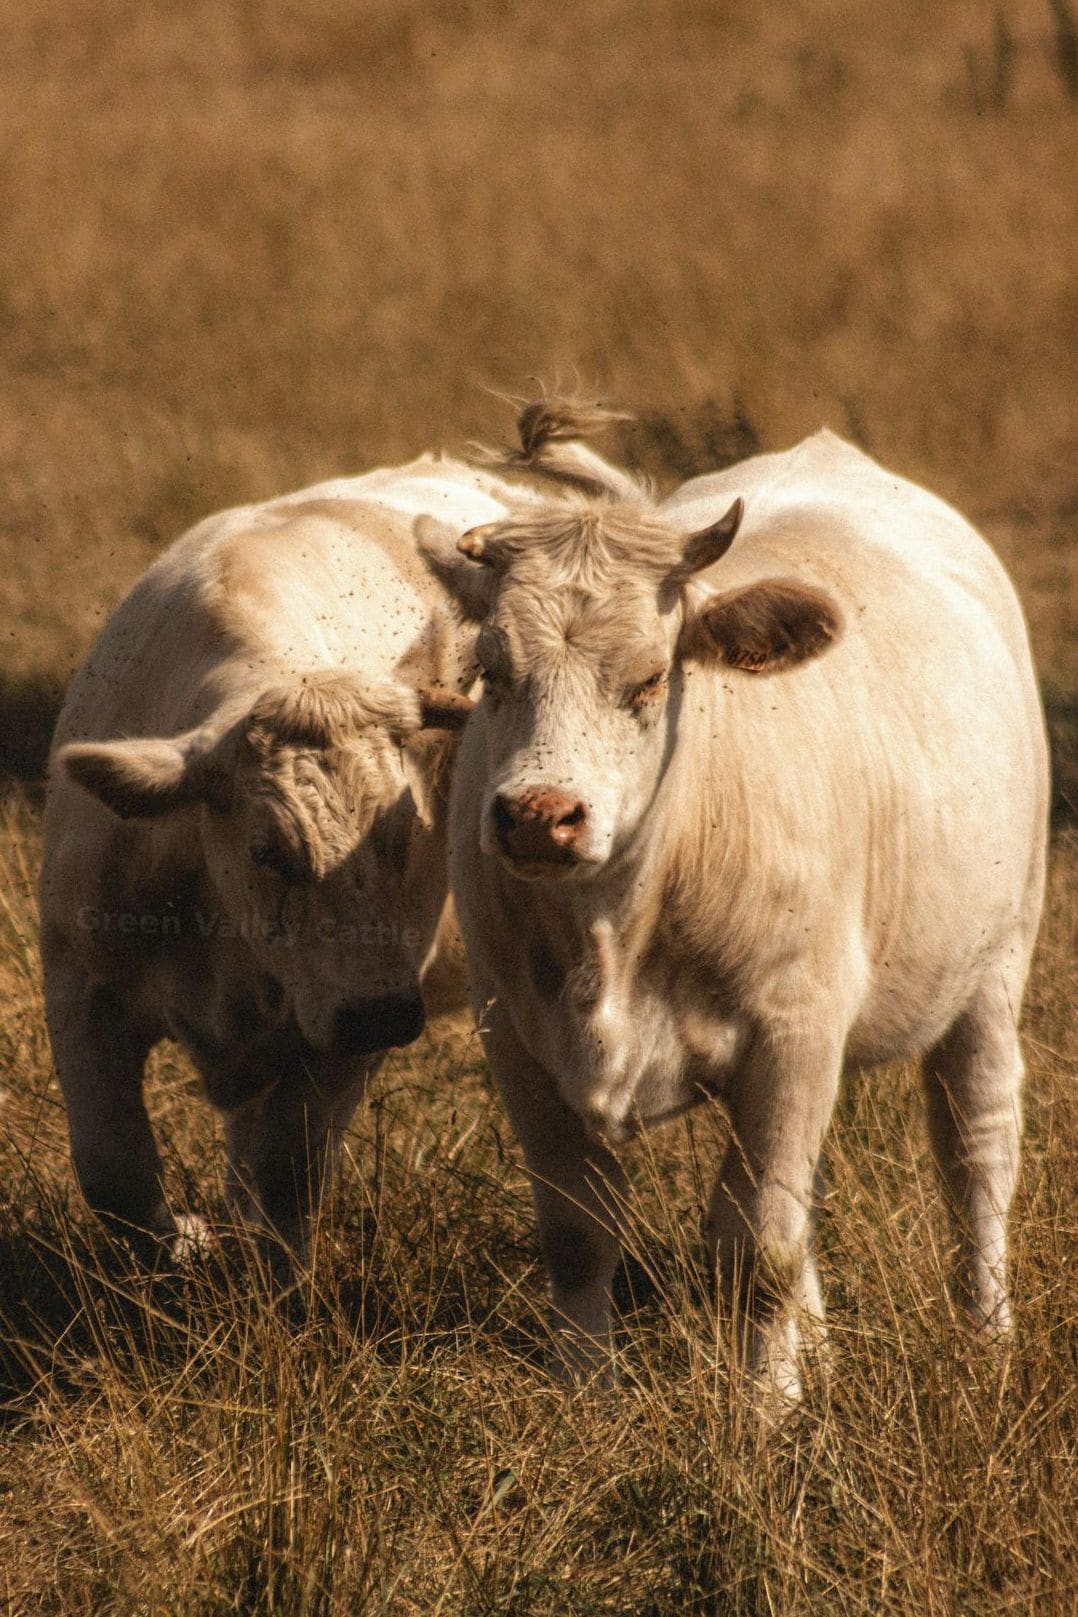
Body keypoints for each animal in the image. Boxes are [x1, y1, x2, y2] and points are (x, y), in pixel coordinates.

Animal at [39, 453, 541, 1267]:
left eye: (406, 834)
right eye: (266, 848)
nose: (382, 1013)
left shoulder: (342, 1026)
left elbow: (287, 1170)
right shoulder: (78, 980)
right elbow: (112, 1171)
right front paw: (185, 1244)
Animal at [417, 409, 1049, 1397]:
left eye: (647, 679)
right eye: (492, 671)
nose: (538, 816)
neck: (615, 928)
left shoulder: (793, 1027)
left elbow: (759, 1250)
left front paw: (768, 1408)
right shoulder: (512, 1031)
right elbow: (580, 1236)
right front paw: (586, 1397)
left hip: (996, 960)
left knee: (975, 1144)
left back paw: (988, 1335)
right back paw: (822, 1344)